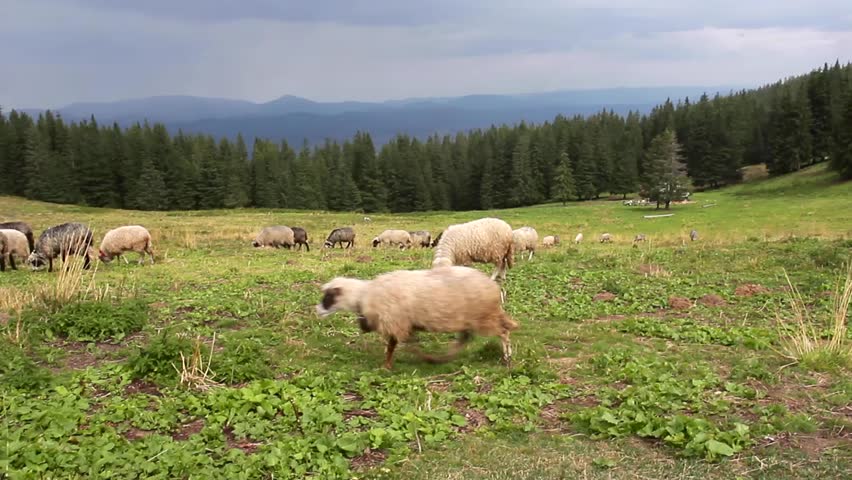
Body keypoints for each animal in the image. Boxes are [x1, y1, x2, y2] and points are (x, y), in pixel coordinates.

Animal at [315, 265, 518, 369]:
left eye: (328, 296)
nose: (317, 310)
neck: (365, 295)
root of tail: (492, 286)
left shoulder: (396, 322)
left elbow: (394, 346)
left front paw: (386, 366)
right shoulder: (403, 324)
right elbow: (406, 342)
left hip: (484, 317)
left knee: (503, 331)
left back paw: (507, 358)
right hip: (470, 319)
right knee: (465, 339)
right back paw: (443, 358)